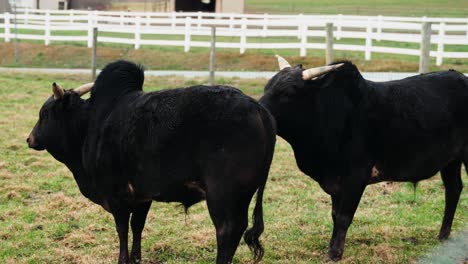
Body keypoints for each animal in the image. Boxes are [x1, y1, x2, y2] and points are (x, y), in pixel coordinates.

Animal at [27, 60, 276, 264]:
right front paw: (136, 258)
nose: (30, 139)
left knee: (226, 231)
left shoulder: (116, 196)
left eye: (45, 114)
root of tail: (257, 107)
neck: (90, 126)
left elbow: (122, 229)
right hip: (242, 196)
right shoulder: (142, 196)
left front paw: (123, 259)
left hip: (222, 196)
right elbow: (137, 226)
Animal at [258, 55, 466, 260]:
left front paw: (334, 253)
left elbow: (344, 217)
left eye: (288, 92)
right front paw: (332, 247)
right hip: (451, 161)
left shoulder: (356, 177)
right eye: (267, 87)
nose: (261, 110)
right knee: (453, 189)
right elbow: (335, 214)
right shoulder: (335, 182)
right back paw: (443, 235)